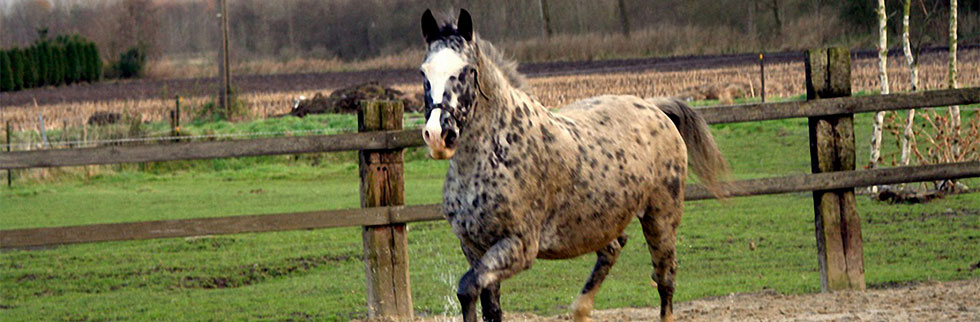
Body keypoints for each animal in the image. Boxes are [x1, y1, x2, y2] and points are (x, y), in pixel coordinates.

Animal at [418, 8, 732, 320]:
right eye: (424, 72)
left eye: (466, 70)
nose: (438, 136)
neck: (497, 151)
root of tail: (655, 108)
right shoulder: (473, 247)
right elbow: (485, 304)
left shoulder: (519, 245)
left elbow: (466, 288)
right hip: (602, 220)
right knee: (613, 249)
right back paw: (581, 309)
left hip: (661, 218)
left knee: (665, 278)